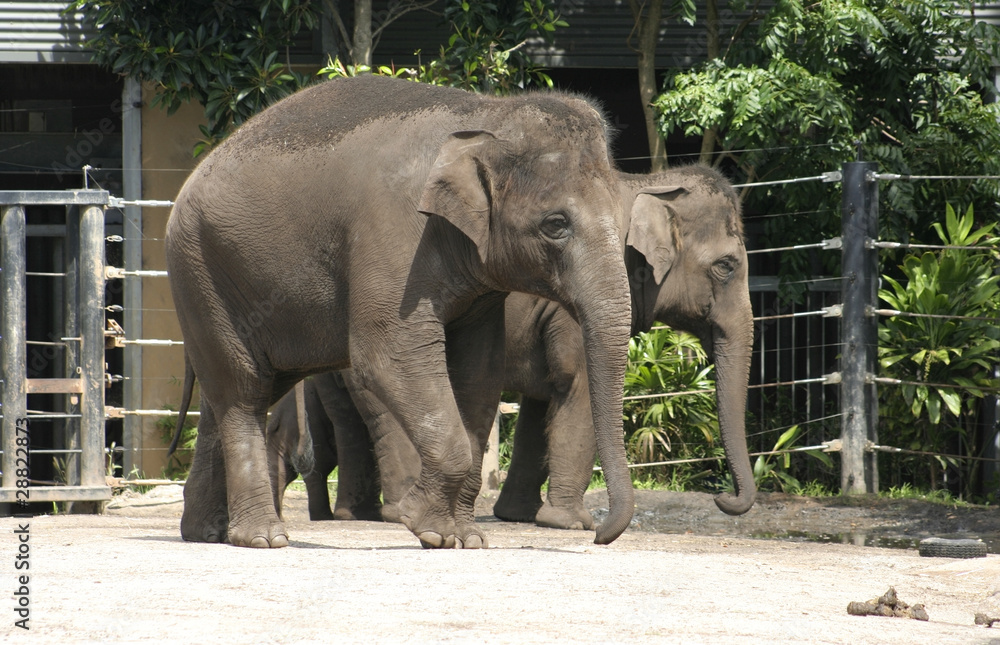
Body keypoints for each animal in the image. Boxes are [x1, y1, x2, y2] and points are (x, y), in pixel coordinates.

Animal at [165, 74, 635, 549]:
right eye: (556, 224)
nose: (598, 535)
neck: (487, 114)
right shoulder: (393, 236)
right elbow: (389, 354)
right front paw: (429, 529)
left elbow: (480, 369)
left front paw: (466, 538)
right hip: (201, 272)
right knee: (243, 392)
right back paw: (263, 538)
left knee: (231, 395)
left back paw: (206, 533)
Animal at [275, 165, 756, 531]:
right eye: (726, 266)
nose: (724, 501)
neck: (647, 181)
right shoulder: (572, 304)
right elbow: (577, 388)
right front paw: (571, 524)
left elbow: (542, 407)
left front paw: (518, 516)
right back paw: (396, 513)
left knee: (351, 420)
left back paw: (357, 514)